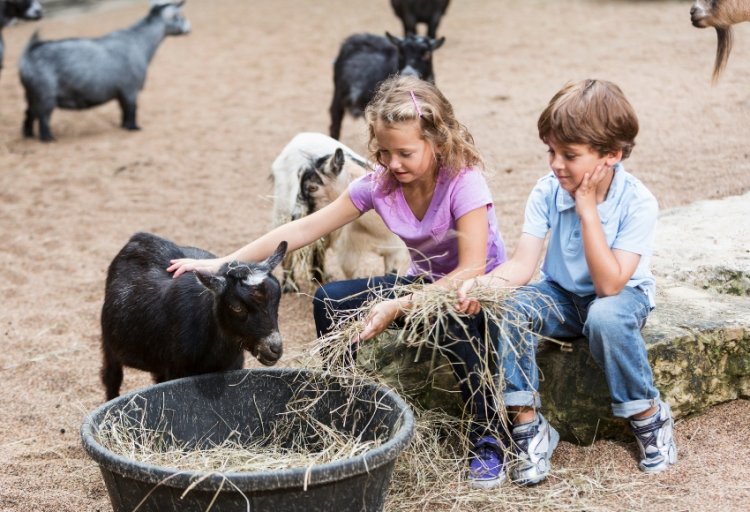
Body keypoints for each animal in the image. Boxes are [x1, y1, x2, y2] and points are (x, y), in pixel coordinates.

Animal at [19, 0, 191, 141]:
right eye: (179, 16)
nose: (189, 27)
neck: (139, 42)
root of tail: (29, 52)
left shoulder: (122, 92)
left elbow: (124, 110)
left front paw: (124, 126)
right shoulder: (130, 89)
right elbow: (131, 109)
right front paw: (134, 128)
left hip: (32, 94)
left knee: (29, 113)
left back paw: (28, 135)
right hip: (45, 95)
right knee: (43, 117)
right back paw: (48, 138)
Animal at [100, 231, 288, 400]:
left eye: (277, 299)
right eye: (236, 307)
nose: (274, 349)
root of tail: (140, 237)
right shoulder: (177, 370)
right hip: (109, 345)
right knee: (111, 377)